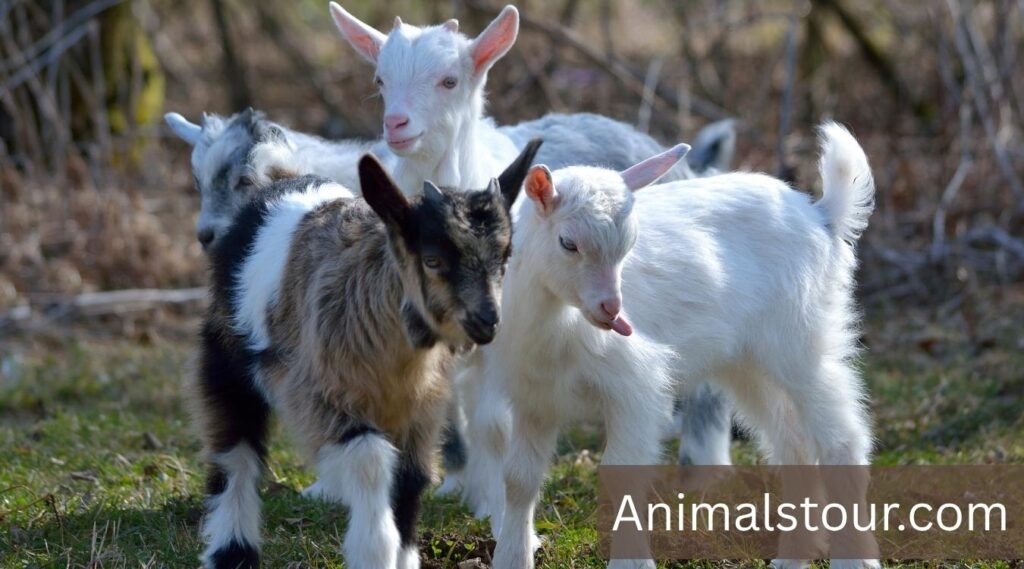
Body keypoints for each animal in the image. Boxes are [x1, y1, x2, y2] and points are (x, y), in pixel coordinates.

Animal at [191, 141, 541, 569]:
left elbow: (410, 479)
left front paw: (403, 557)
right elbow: (371, 460)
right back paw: (233, 551)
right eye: (432, 260)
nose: (488, 321)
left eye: (504, 257)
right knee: (234, 451)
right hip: (228, 358)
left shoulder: (421, 410)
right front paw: (373, 550)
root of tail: (284, 181)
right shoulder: (322, 392)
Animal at [479, 123, 878, 569]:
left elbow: (620, 472)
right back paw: (792, 558)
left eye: (629, 244)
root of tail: (821, 215)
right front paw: (512, 557)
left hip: (803, 339)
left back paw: (854, 559)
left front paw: (630, 563)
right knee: (792, 446)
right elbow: (519, 479)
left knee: (842, 439)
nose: (612, 309)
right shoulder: (535, 399)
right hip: (748, 363)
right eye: (568, 243)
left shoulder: (637, 385)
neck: (558, 321)